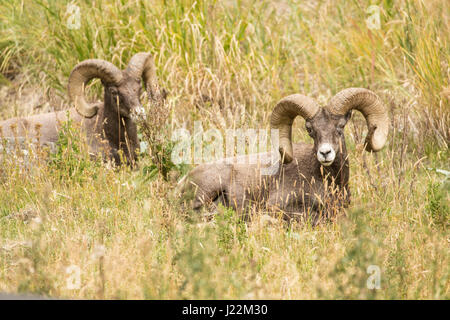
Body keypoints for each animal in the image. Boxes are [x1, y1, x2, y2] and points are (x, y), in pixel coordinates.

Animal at [181, 87, 388, 222]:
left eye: (340, 126)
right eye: (310, 129)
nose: (325, 153)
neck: (327, 181)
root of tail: (184, 181)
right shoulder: (279, 206)